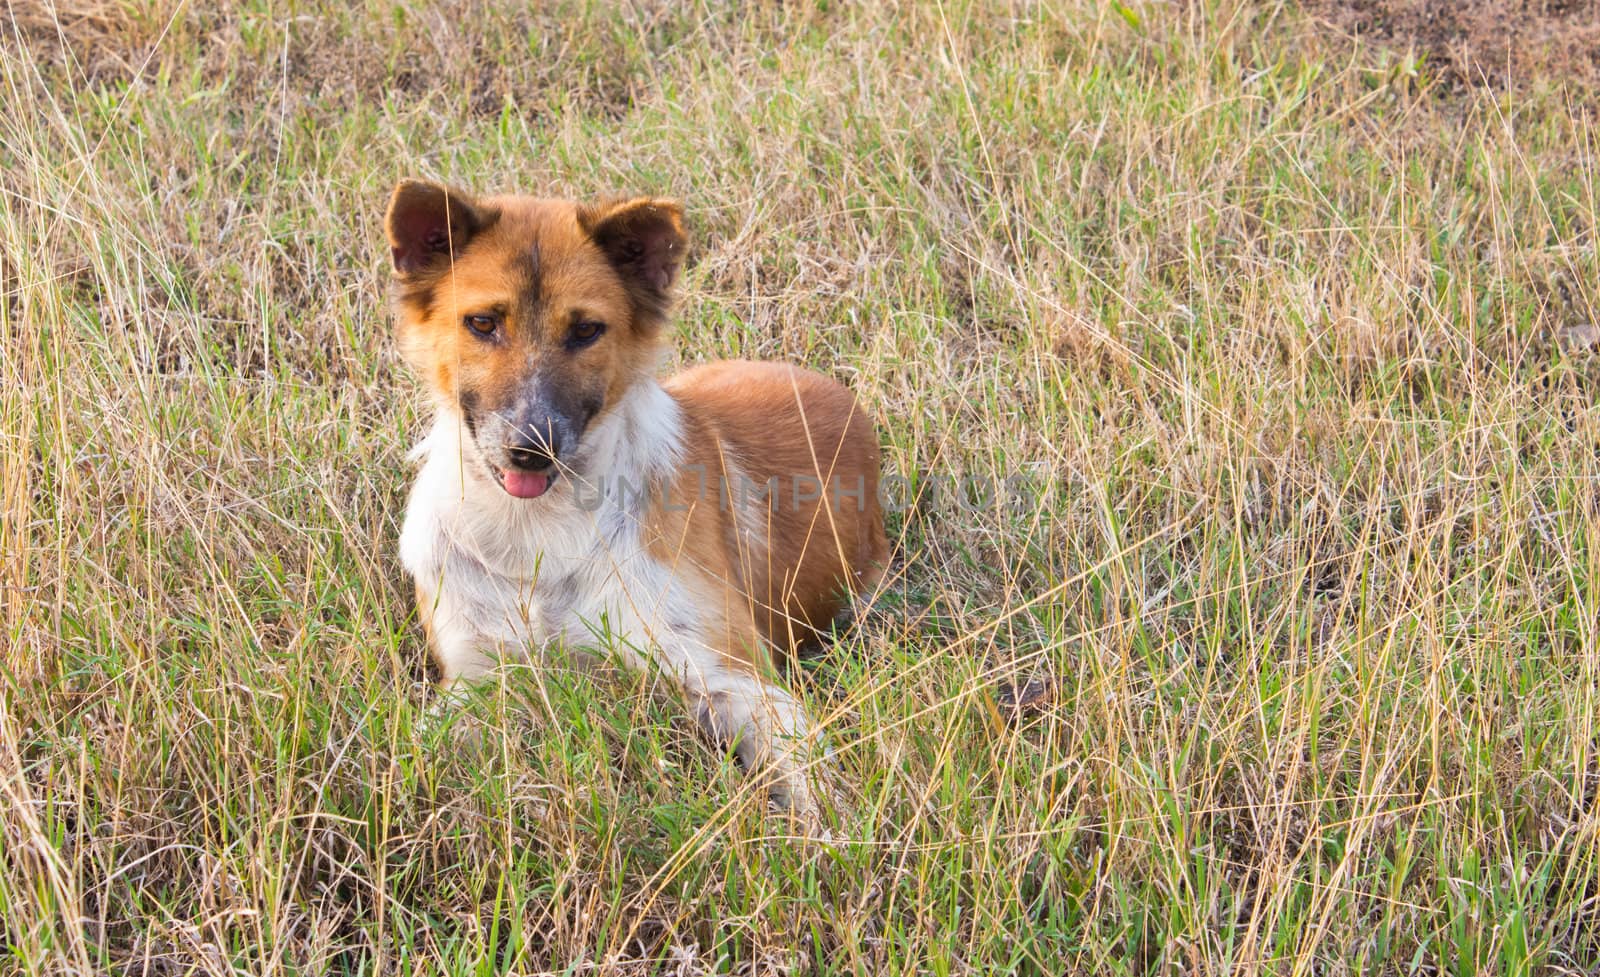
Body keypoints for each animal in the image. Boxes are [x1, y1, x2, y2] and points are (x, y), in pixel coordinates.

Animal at [384, 179, 889, 815]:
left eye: (585, 331)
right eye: (481, 323)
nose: (531, 450)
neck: (535, 530)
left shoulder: (737, 680)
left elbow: (815, 792)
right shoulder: (474, 681)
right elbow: (416, 750)